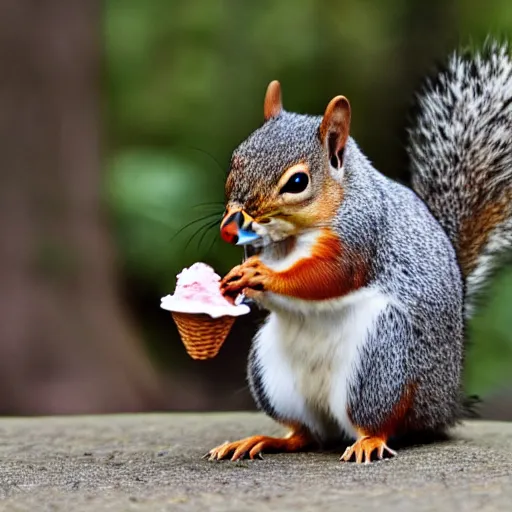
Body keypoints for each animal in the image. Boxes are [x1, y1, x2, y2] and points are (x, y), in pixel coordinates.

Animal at [204, 41, 512, 464]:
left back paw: (369, 440)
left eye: (297, 182)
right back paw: (265, 440)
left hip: (383, 362)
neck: (289, 239)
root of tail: (445, 404)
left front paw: (262, 276)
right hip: (271, 374)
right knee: (306, 434)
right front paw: (237, 280)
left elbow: (329, 275)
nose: (231, 224)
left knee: (380, 421)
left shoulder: (362, 234)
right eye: (235, 160)